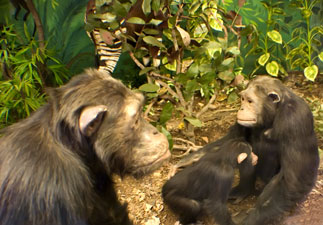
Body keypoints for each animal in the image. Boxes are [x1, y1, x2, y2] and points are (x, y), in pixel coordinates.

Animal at [175, 76, 318, 225]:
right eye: (243, 99)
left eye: (250, 101)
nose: (242, 107)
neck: (275, 111)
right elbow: (235, 137)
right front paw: (191, 159)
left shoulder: (296, 119)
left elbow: (292, 180)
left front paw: (251, 218)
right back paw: (243, 190)